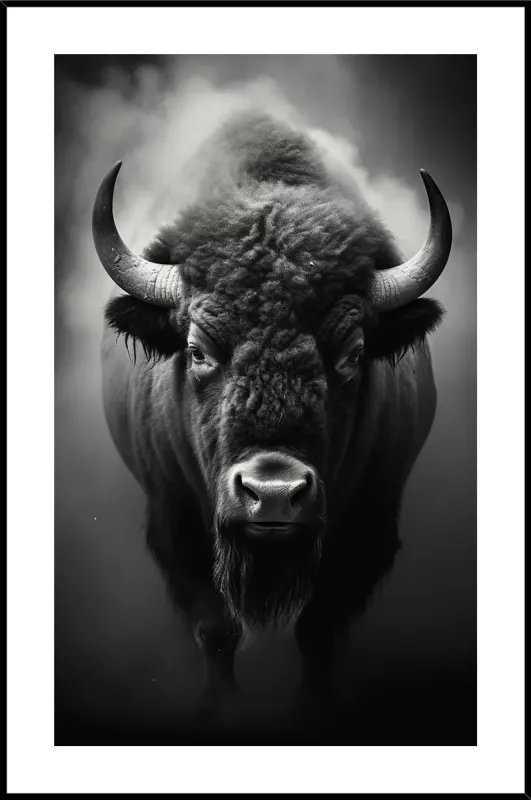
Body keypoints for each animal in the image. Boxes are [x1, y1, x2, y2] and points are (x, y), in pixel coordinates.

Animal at [93, 112, 452, 717]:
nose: (275, 492)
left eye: (353, 352)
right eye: (197, 350)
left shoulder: (368, 521)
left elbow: (320, 629)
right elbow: (216, 627)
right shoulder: (177, 520)